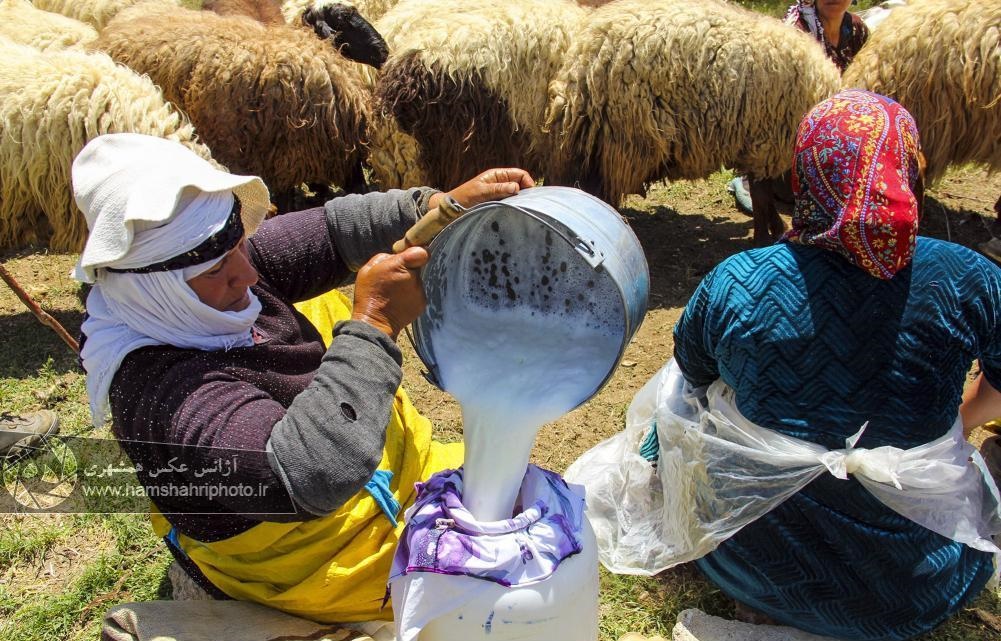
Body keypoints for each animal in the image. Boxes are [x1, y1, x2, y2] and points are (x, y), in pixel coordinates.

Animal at [544, 0, 840, 244]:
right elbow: (760, 193)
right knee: (600, 192)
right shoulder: (766, 142)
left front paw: (773, 228)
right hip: (623, 137)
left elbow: (761, 193)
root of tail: (586, 61)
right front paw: (764, 235)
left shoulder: (759, 147)